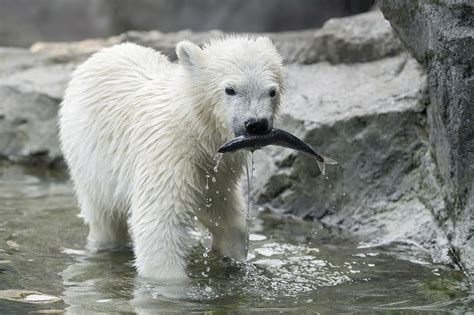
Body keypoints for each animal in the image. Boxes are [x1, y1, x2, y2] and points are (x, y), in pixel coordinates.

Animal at [57, 37, 284, 282]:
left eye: (272, 91)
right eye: (230, 89)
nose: (256, 124)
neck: (193, 125)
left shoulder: (218, 170)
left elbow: (225, 214)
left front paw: (232, 257)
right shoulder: (168, 152)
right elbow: (161, 223)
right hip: (89, 159)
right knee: (104, 216)